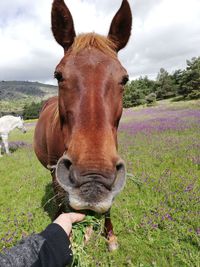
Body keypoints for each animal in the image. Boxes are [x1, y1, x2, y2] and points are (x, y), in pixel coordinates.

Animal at [34, 0, 131, 251]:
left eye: (124, 79)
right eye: (58, 75)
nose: (93, 178)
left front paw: (110, 236)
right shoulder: (56, 170)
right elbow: (61, 198)